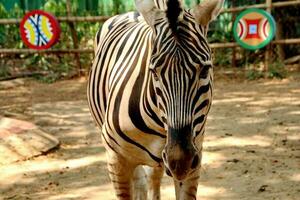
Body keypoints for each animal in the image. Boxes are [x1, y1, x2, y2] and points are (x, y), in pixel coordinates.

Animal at [88, 0, 224, 198]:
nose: (179, 162)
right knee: (141, 180)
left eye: (205, 70)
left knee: (153, 177)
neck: (159, 127)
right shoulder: (116, 159)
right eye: (153, 72)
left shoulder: (194, 159)